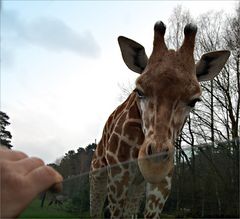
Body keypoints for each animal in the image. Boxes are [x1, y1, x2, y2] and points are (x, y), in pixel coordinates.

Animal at [89, 20, 230, 217]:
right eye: (139, 91)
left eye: (194, 100)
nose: (154, 166)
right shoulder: (119, 175)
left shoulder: (163, 182)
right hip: (98, 174)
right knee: (95, 209)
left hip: (136, 186)